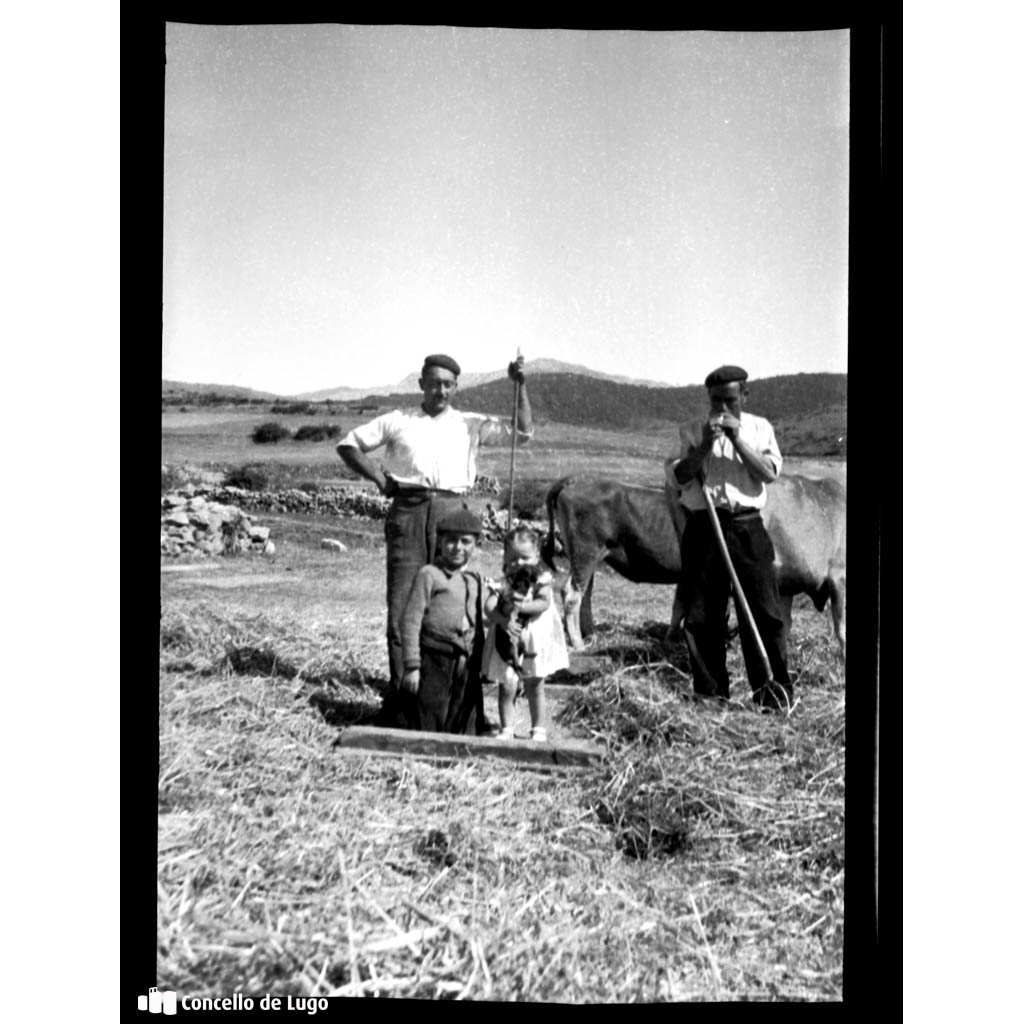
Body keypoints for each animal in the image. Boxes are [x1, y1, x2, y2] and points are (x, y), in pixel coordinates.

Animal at [544, 473, 847, 655]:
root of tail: (575, 481)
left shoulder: (687, 579)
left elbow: (679, 608)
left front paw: (670, 638)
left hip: (589, 558)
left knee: (584, 596)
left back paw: (589, 634)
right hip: (585, 554)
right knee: (572, 594)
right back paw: (578, 643)